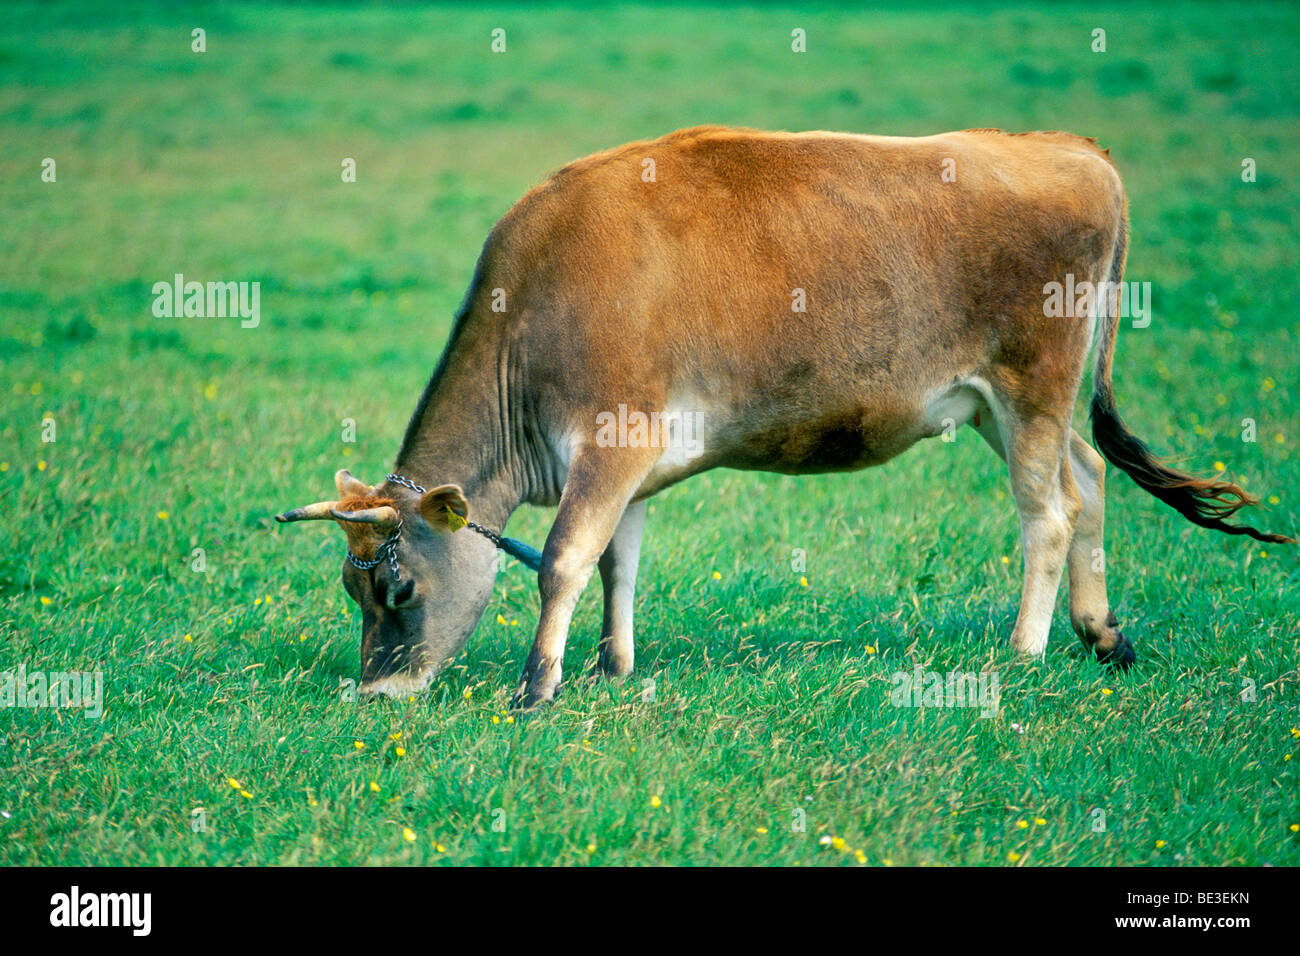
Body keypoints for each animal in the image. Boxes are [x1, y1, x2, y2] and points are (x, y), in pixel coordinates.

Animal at [276, 125, 1292, 708]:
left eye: (398, 587)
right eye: (351, 590)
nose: (376, 693)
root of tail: (1073, 148)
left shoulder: (607, 443)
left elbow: (564, 558)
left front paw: (537, 690)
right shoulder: (628, 460)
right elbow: (616, 564)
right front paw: (612, 669)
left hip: (1032, 380)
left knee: (1051, 511)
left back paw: (1027, 649)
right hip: (999, 404)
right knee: (1089, 475)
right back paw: (1101, 633)